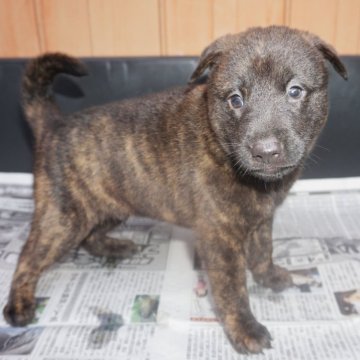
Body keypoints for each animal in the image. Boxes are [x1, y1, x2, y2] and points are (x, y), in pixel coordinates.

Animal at [2, 26, 346, 352]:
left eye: (295, 91)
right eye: (235, 99)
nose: (265, 151)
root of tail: (54, 124)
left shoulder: (262, 218)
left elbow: (263, 251)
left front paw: (270, 277)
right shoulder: (219, 239)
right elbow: (232, 290)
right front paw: (245, 330)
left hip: (111, 204)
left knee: (90, 237)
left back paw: (115, 247)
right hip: (64, 218)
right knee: (28, 256)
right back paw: (18, 305)